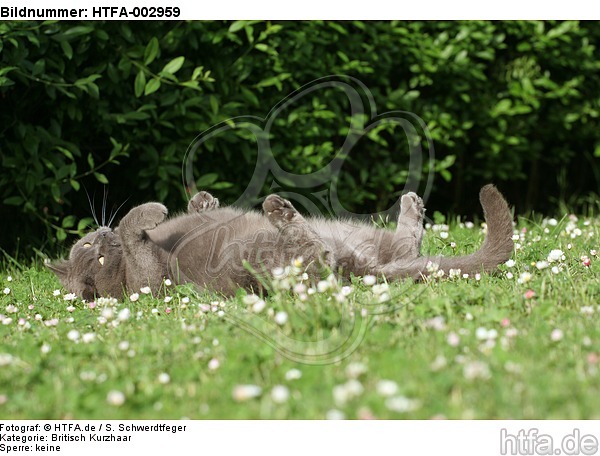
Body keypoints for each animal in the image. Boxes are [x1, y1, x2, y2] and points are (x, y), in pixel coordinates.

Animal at [49, 183, 512, 302]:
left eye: (85, 245)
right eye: (93, 255)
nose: (100, 233)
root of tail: (364, 269)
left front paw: (203, 200)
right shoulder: (148, 279)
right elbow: (134, 229)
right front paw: (153, 210)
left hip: (357, 232)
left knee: (406, 247)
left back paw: (412, 203)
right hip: (267, 258)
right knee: (318, 256)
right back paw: (279, 210)